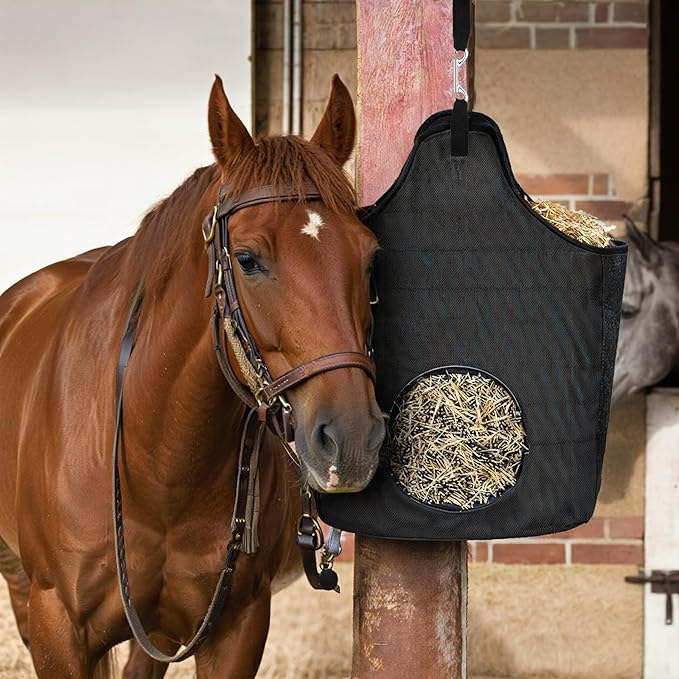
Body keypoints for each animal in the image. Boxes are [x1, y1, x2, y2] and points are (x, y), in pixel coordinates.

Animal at [0, 73, 385, 678]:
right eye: (247, 259)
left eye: (370, 259)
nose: (351, 441)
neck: (156, 460)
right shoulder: (57, 627)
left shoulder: (237, 628)